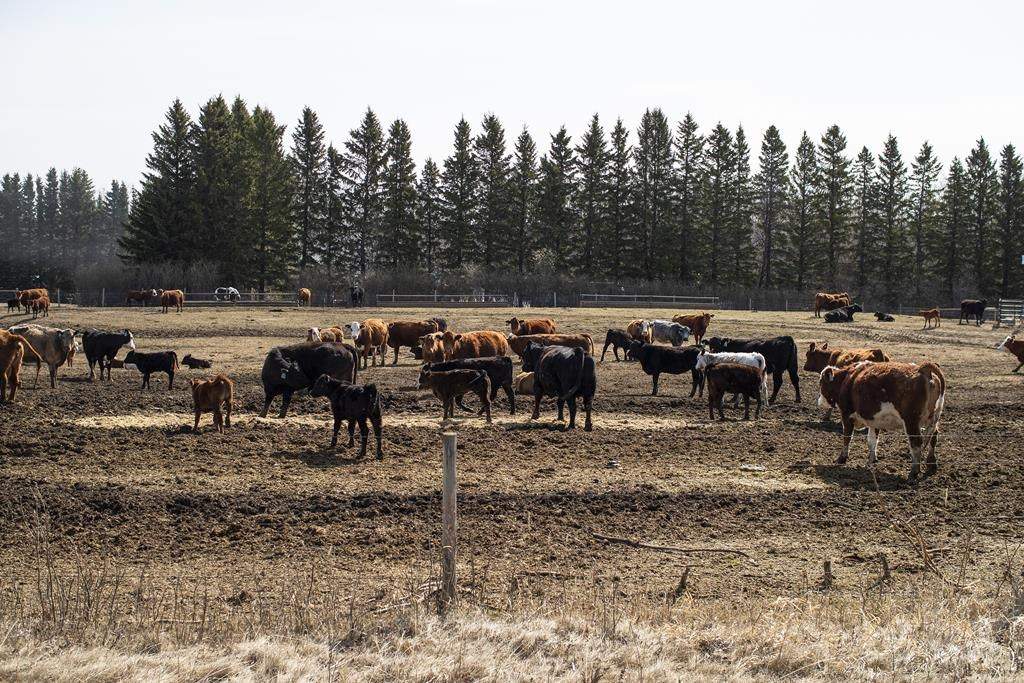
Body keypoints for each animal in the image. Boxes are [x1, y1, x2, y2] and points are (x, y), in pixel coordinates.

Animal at [817, 361, 946, 480]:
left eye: (821, 382)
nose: (819, 401)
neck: (848, 379)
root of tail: (923, 369)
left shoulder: (847, 414)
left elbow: (847, 437)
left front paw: (841, 458)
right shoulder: (874, 421)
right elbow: (872, 441)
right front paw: (871, 459)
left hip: (911, 421)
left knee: (916, 442)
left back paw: (914, 471)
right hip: (933, 418)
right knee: (934, 437)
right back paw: (931, 463)